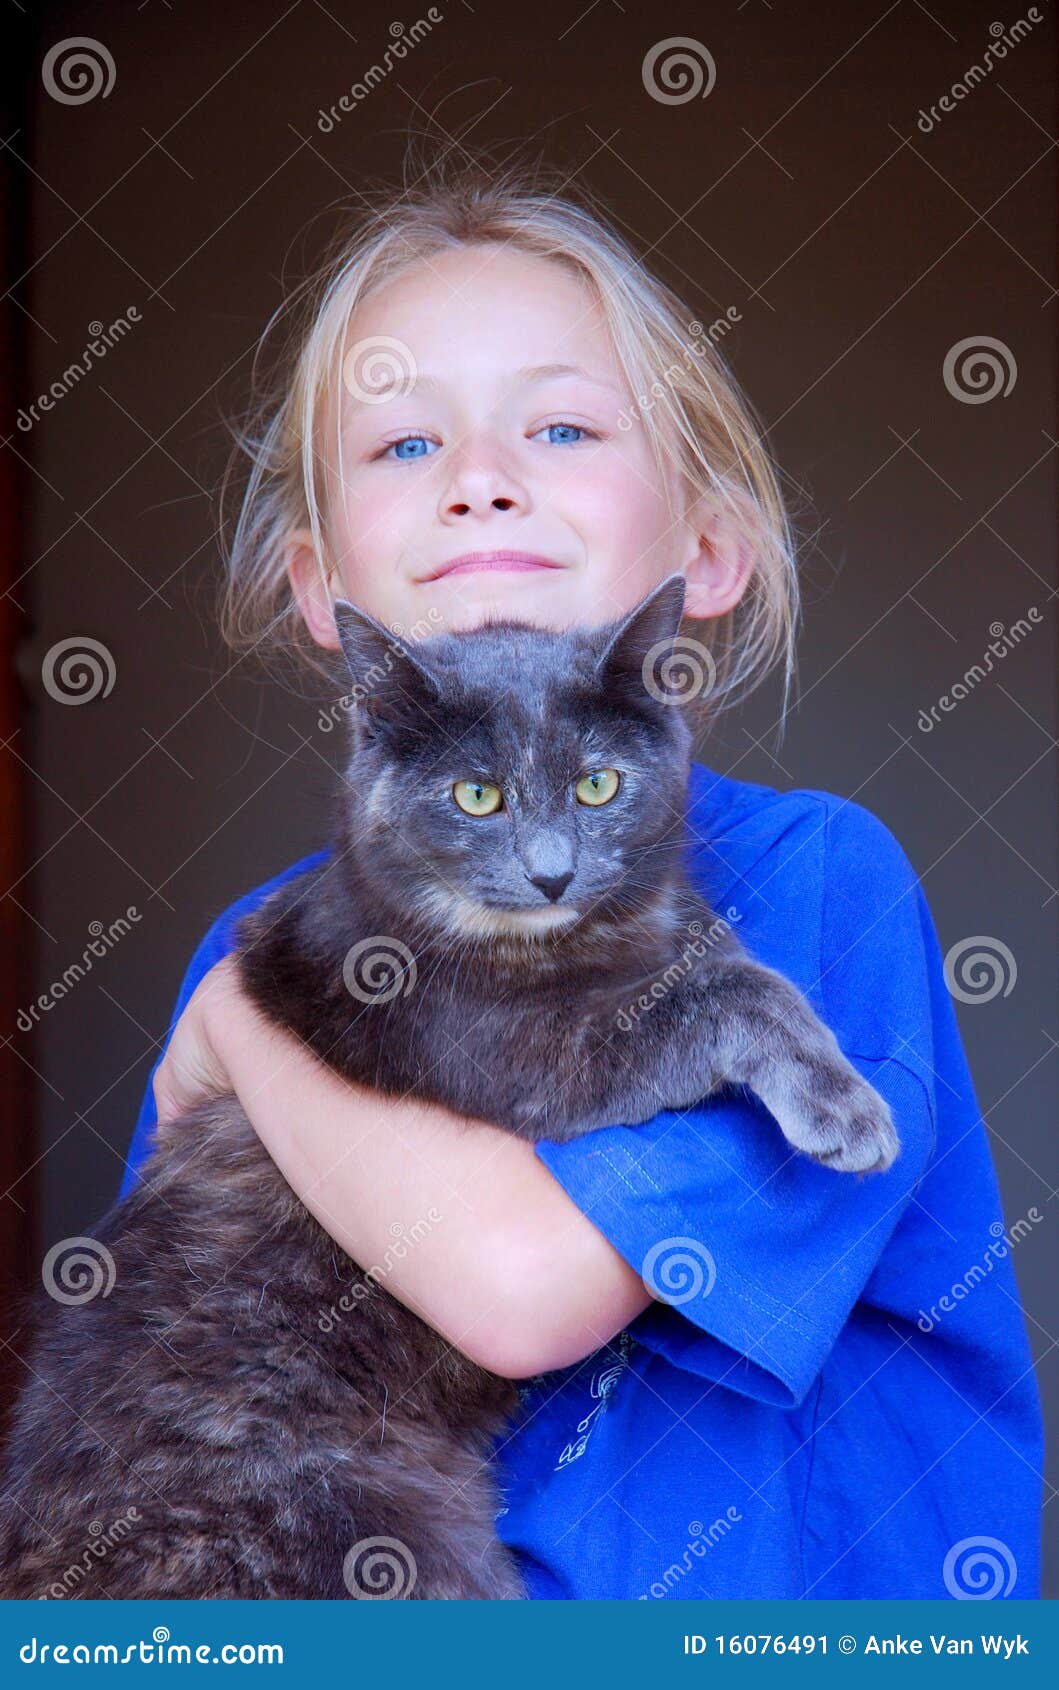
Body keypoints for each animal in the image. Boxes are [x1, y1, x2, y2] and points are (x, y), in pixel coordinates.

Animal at [0, 574, 891, 1588]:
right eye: (476, 796)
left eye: (597, 783)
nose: (552, 874)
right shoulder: (531, 1057)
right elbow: (725, 994)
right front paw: (847, 1109)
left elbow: (720, 961)